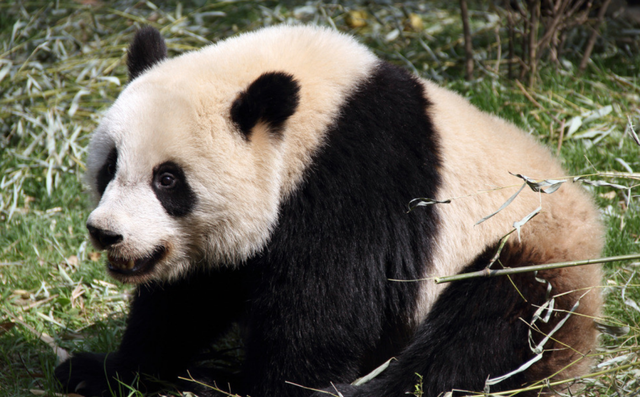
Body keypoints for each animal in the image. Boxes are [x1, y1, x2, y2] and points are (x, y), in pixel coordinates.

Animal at [56, 25, 604, 396]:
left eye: (167, 180)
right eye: (109, 166)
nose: (106, 233)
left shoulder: (353, 177)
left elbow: (326, 303)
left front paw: (280, 388)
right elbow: (187, 300)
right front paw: (99, 371)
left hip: (526, 243)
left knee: (485, 331)